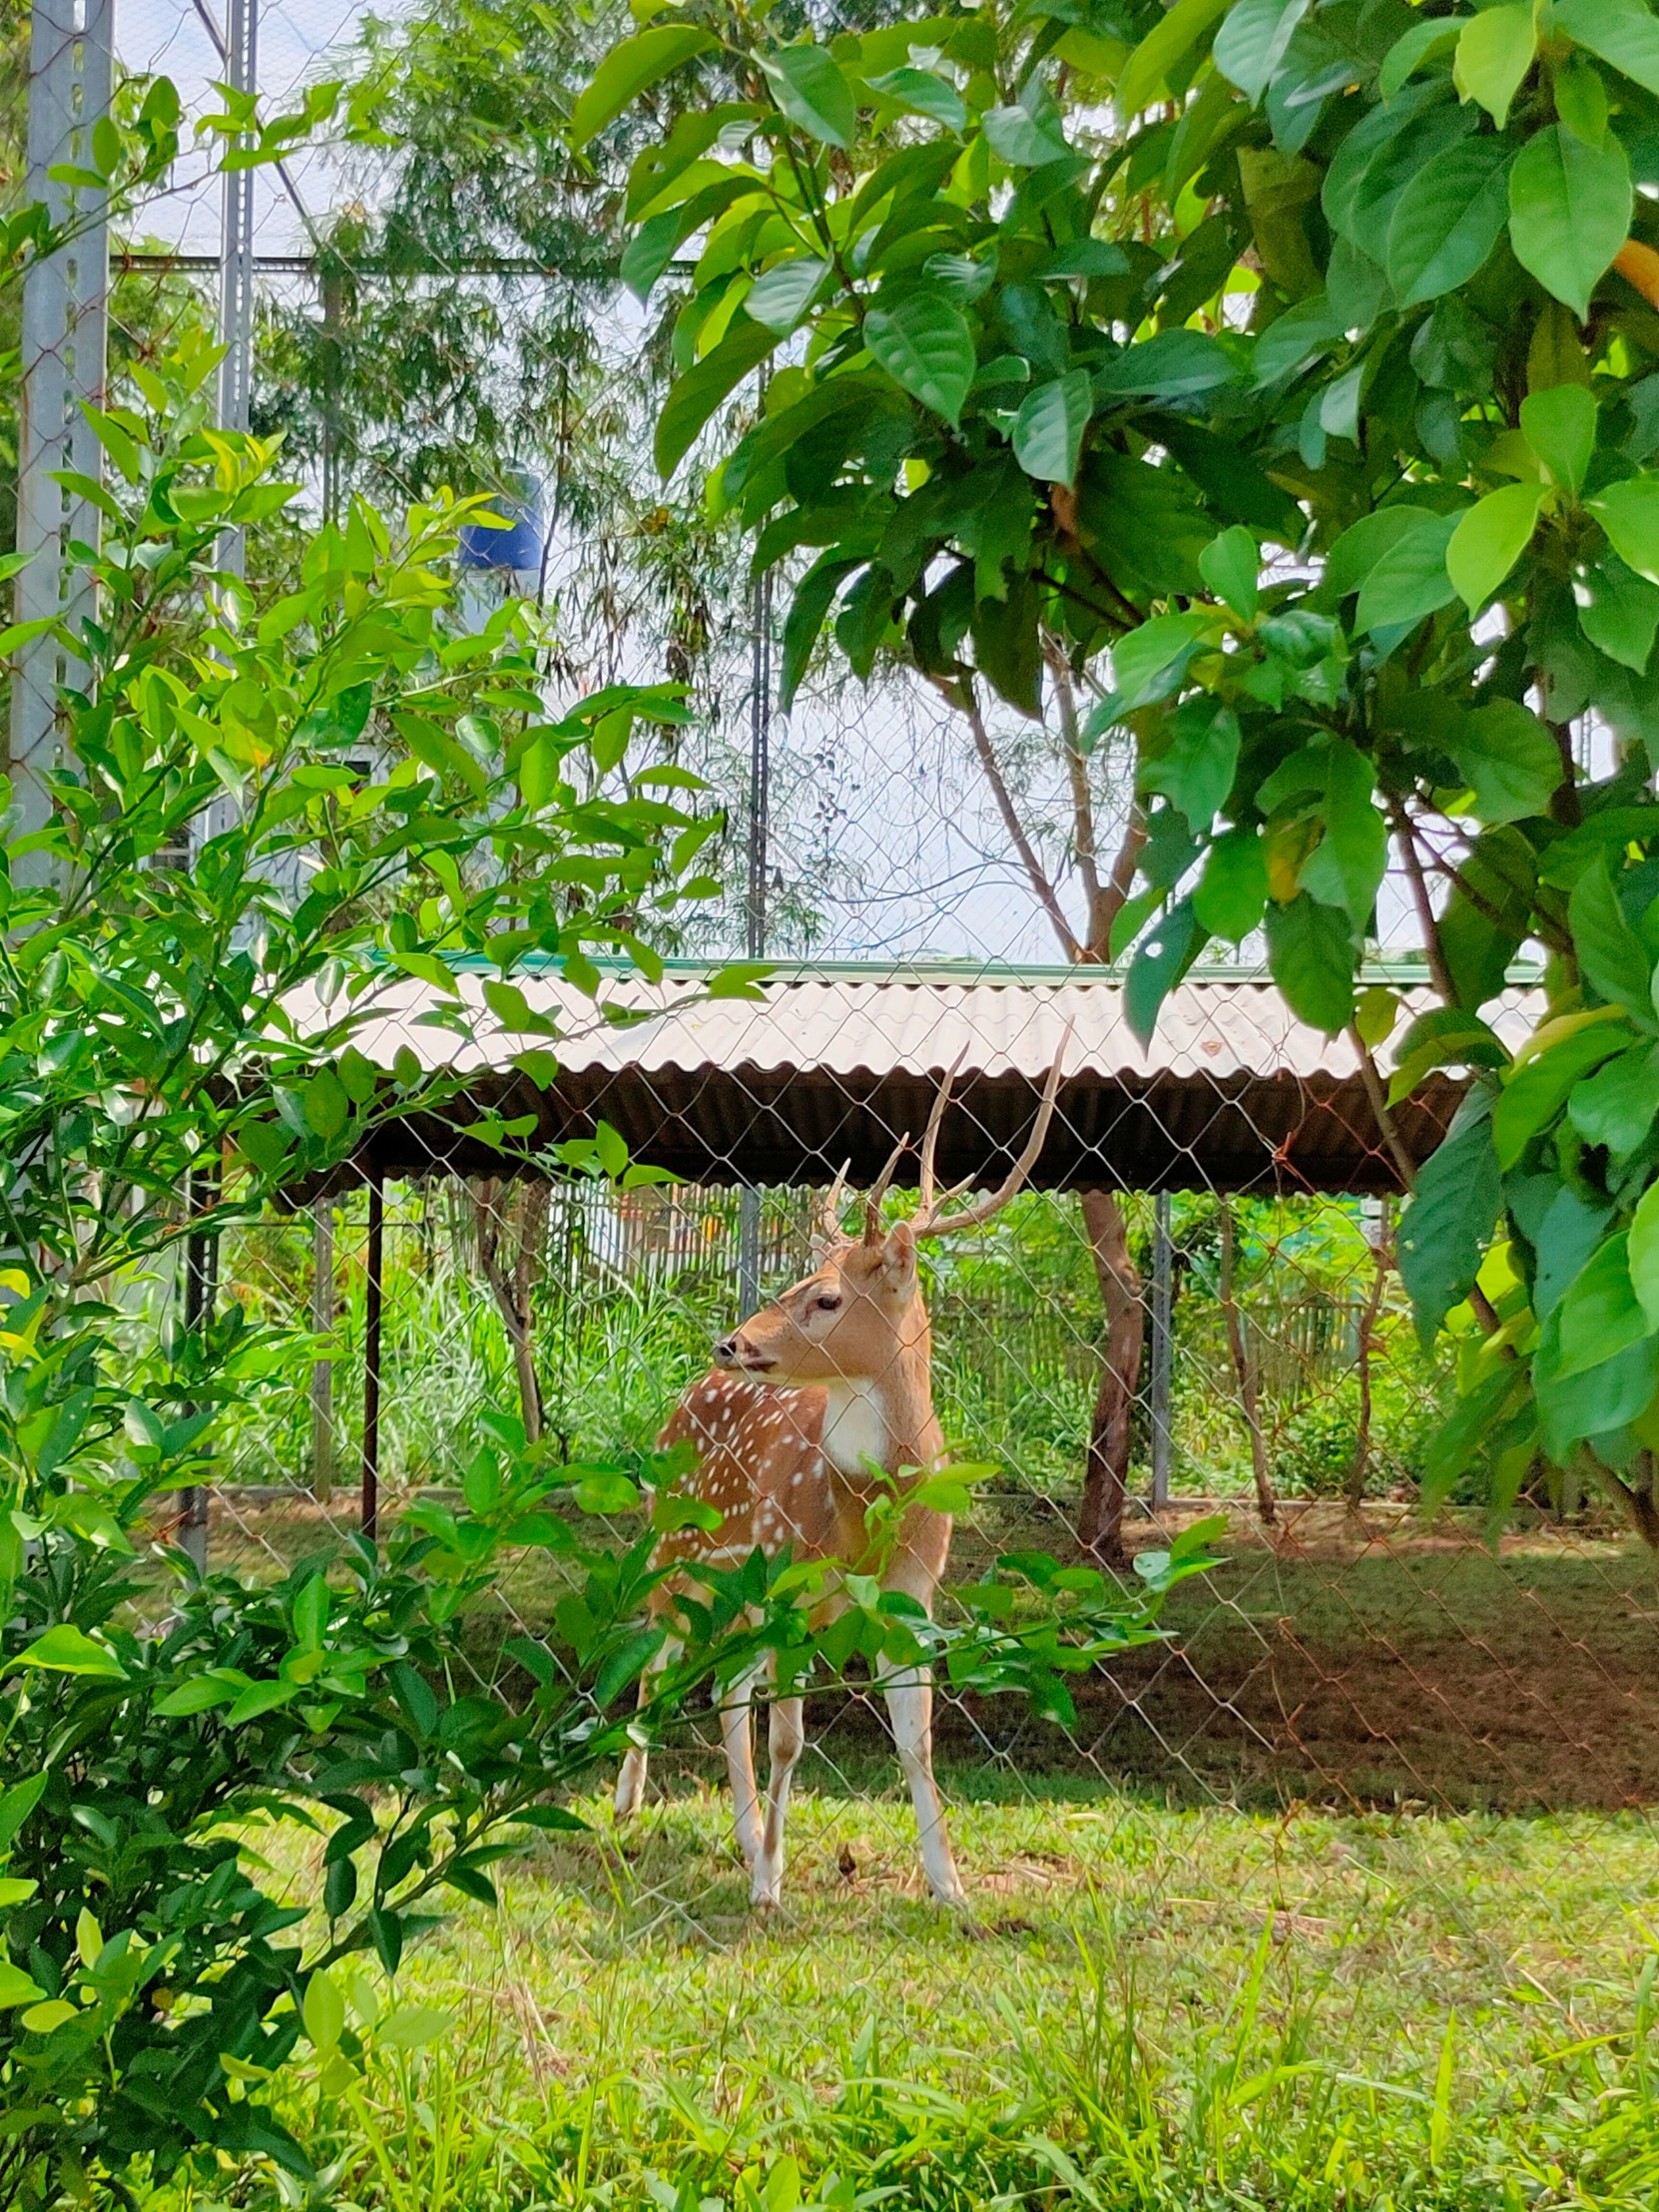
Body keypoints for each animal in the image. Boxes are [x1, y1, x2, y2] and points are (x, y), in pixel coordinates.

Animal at [610, 1043, 1066, 1911]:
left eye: (825, 1297)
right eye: (794, 1276)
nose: (731, 1342)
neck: (857, 1519)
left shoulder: (912, 1595)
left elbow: (918, 1738)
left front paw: (951, 1889)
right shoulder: (791, 1584)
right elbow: (790, 1738)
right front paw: (770, 1887)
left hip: (735, 1587)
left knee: (724, 1686)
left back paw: (741, 1836)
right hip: (670, 1547)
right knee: (656, 1659)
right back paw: (627, 1809)